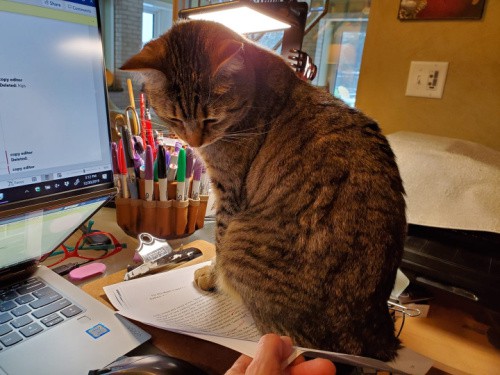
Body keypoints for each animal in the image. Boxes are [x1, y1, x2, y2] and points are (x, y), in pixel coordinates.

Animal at [121, 19, 406, 362]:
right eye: (175, 117)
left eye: (211, 118)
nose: (193, 141)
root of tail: (375, 336)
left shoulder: (229, 195)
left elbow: (218, 247)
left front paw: (212, 277)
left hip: (244, 242)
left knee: (291, 340)